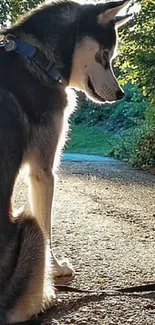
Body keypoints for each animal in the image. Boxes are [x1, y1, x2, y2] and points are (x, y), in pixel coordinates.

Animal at [0, 0, 132, 322]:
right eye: (105, 56)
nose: (121, 93)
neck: (35, 56)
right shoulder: (43, 171)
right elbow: (49, 227)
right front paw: (56, 268)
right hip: (28, 227)